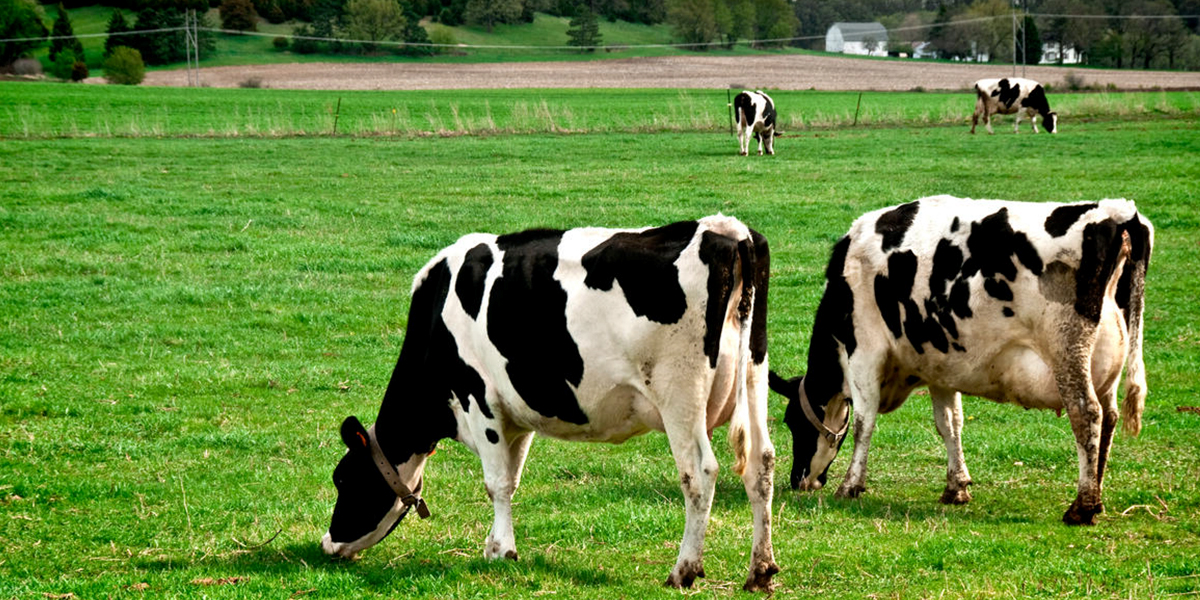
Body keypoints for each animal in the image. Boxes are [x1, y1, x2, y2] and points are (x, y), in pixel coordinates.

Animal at [324, 216, 782, 590]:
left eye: (343, 479)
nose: (328, 543)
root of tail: (726, 229)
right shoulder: (517, 412)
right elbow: (511, 478)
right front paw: (498, 544)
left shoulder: (479, 398)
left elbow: (495, 482)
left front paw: (500, 550)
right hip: (754, 373)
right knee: (761, 463)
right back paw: (760, 571)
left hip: (679, 392)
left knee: (699, 473)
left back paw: (683, 570)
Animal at [768, 196, 1152, 525]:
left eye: (792, 421)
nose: (799, 480)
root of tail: (1117, 212)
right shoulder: (941, 367)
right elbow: (950, 423)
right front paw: (956, 486)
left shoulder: (864, 352)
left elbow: (865, 421)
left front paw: (850, 485)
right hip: (1106, 363)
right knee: (1110, 418)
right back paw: (1097, 498)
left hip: (1067, 350)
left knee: (1087, 414)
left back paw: (1081, 506)